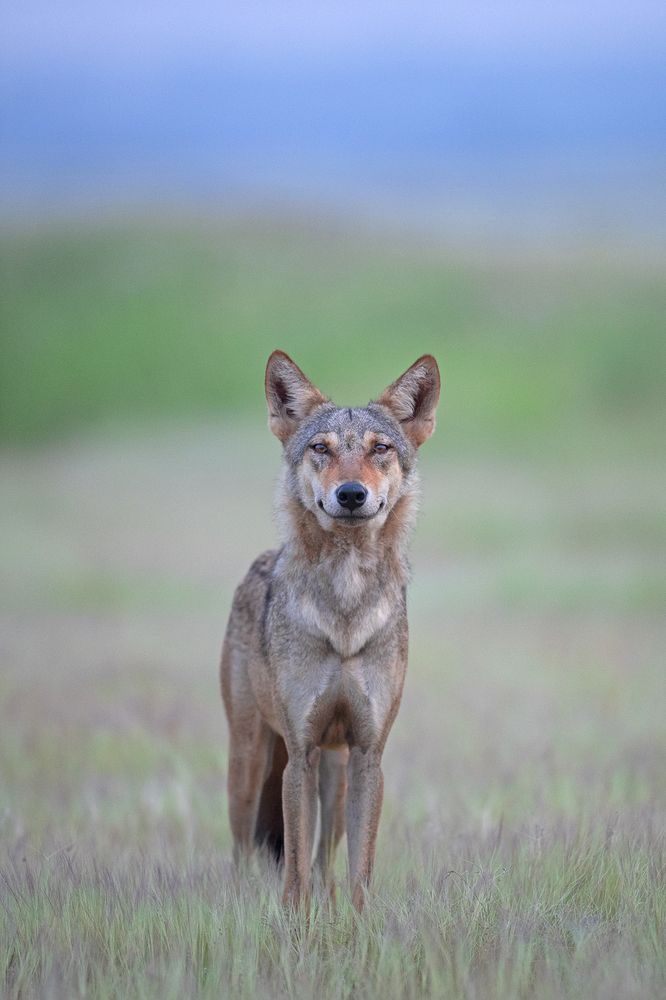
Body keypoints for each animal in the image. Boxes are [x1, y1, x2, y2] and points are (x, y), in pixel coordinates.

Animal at [220, 350, 440, 910]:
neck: (345, 607)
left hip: (335, 774)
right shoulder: (300, 752)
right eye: (321, 448)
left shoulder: (367, 754)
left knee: (325, 861)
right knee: (244, 852)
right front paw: (294, 923)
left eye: (380, 448)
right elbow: (294, 871)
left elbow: (358, 870)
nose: (351, 493)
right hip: (251, 763)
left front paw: (356, 926)